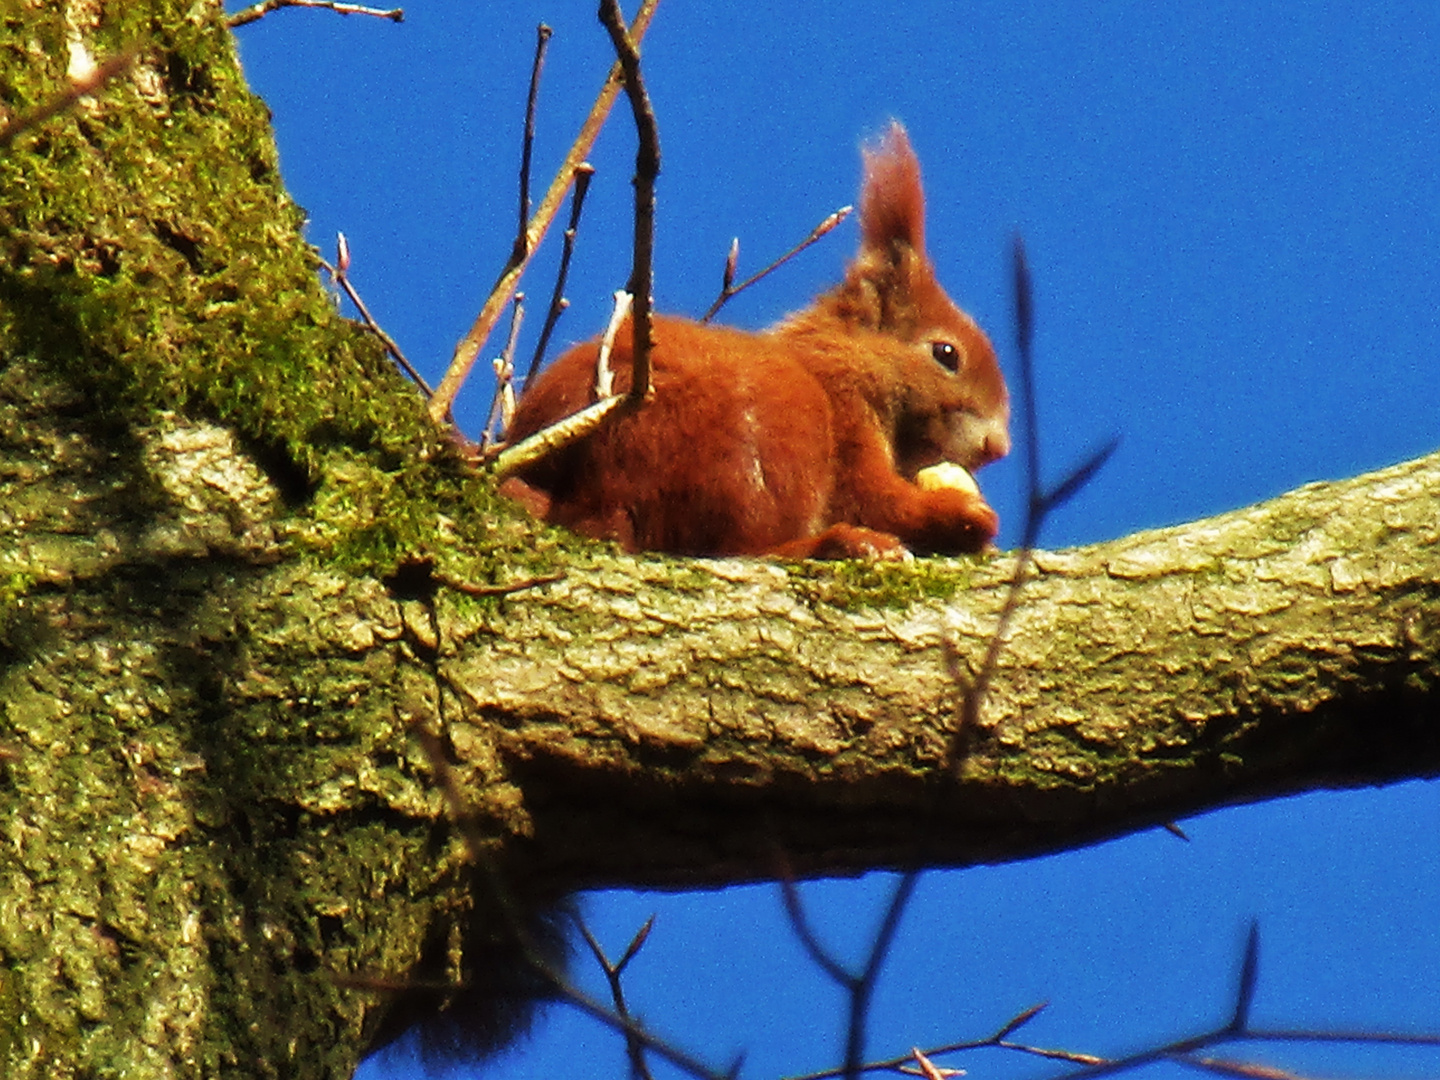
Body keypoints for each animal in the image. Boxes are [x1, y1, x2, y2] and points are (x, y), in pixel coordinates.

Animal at [501, 126, 1008, 558]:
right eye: (946, 354)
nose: (997, 447)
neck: (843, 358)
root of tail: (584, 498)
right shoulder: (844, 412)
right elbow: (869, 498)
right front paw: (959, 515)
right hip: (759, 433)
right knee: (745, 549)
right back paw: (839, 544)